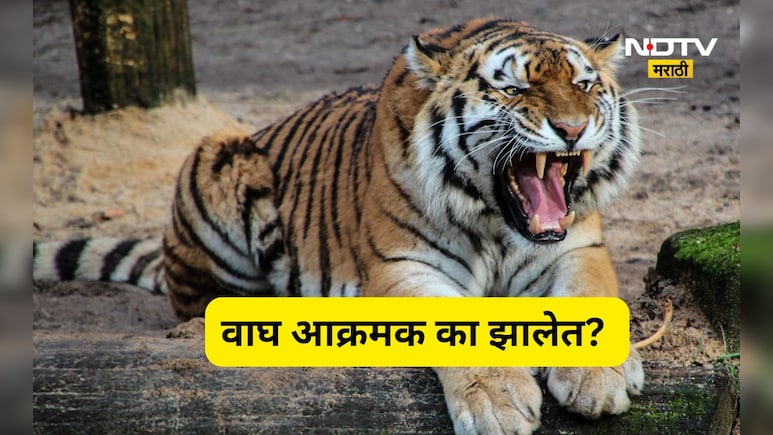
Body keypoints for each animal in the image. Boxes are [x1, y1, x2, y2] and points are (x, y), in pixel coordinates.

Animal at [34, 17, 644, 434]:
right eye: (513, 89)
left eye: (585, 86)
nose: (572, 129)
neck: (498, 223)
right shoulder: (402, 267)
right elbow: (455, 323)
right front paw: (497, 400)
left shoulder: (578, 247)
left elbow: (590, 295)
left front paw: (598, 379)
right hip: (217, 155)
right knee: (203, 303)